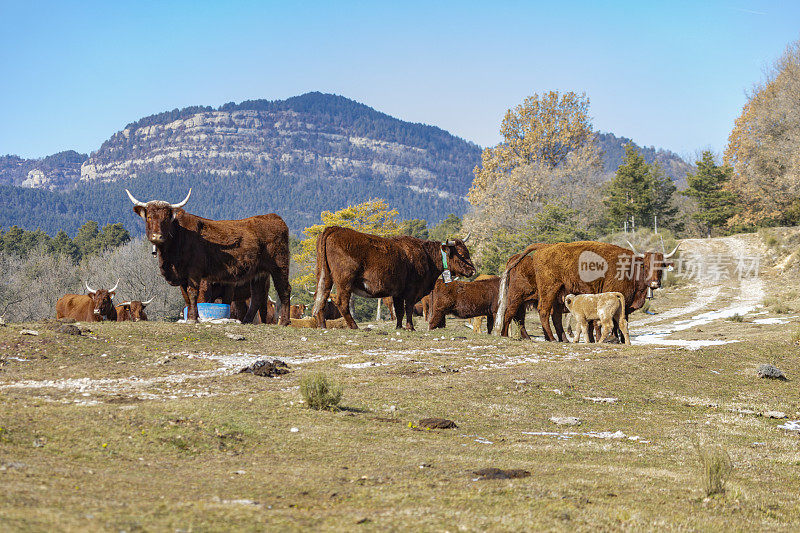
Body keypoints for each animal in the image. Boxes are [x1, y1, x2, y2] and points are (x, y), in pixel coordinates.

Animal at [123, 189, 290, 322]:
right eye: (149, 217)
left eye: (166, 218)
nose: (157, 236)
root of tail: (274, 217)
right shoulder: (182, 276)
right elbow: (186, 297)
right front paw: (192, 317)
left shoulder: (194, 273)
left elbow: (193, 294)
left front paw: (192, 318)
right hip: (259, 273)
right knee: (257, 297)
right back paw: (247, 321)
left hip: (279, 266)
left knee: (284, 290)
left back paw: (284, 322)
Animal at [312, 224, 476, 328]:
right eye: (462, 254)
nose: (472, 271)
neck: (426, 256)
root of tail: (335, 229)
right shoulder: (411, 291)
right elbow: (407, 308)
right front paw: (410, 327)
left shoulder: (398, 292)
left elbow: (399, 310)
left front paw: (399, 327)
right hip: (344, 282)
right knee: (341, 302)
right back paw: (354, 326)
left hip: (324, 277)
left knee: (320, 298)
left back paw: (322, 326)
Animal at [494, 241, 676, 340]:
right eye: (646, 264)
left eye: (661, 265)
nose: (654, 283)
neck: (630, 266)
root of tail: (544, 247)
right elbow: (606, 322)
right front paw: (610, 338)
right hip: (539, 292)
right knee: (533, 312)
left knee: (530, 317)